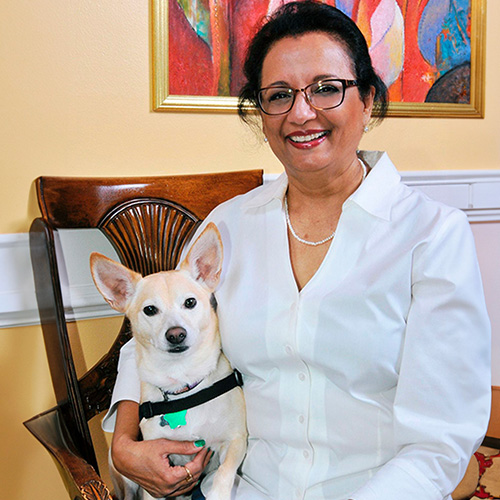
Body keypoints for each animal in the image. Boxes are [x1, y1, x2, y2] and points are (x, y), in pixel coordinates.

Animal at [91, 224, 247, 500]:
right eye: (150, 310)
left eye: (190, 302)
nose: (176, 334)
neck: (183, 382)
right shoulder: (153, 472)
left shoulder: (236, 440)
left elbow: (224, 472)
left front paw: (218, 493)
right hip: (119, 470)